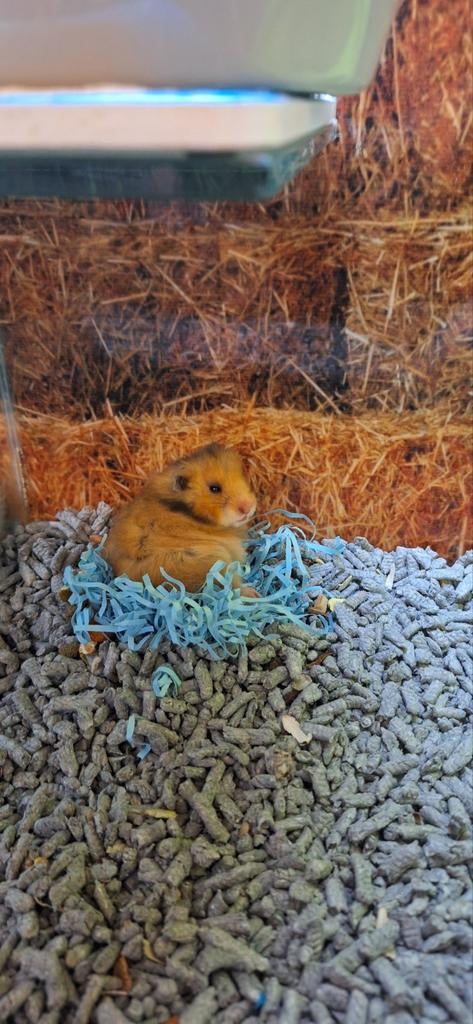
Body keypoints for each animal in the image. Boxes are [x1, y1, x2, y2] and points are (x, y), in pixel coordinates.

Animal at [103, 443, 259, 596]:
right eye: (214, 488)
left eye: (242, 476)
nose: (248, 507)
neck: (189, 513)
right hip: (215, 560)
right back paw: (253, 593)